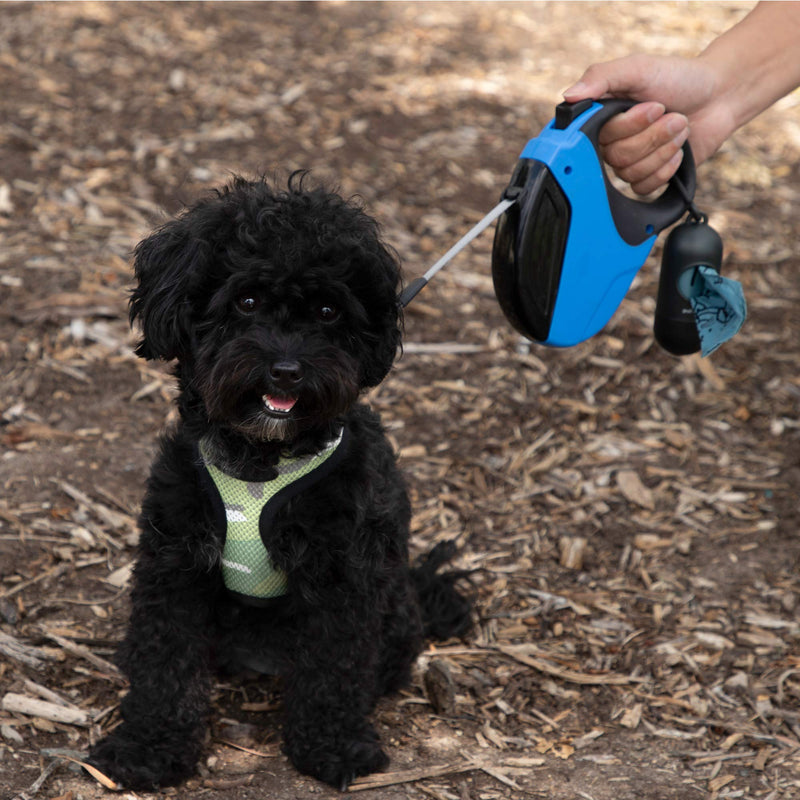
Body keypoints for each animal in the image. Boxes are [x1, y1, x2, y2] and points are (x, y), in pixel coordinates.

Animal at [87, 172, 472, 792]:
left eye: (327, 310)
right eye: (245, 301)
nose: (287, 370)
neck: (260, 459)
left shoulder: (343, 578)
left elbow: (336, 670)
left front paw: (333, 746)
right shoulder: (175, 566)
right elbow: (165, 664)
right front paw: (148, 748)